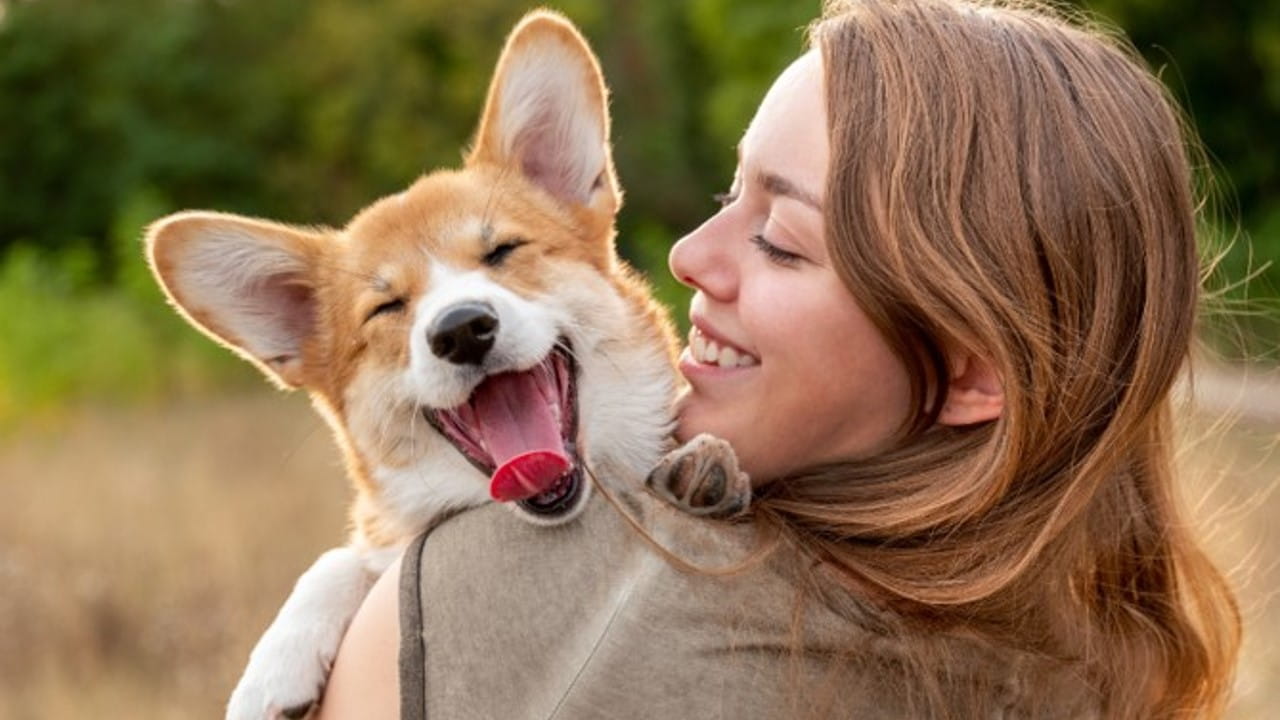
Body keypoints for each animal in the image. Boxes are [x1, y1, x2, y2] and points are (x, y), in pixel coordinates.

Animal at [148, 11, 691, 717]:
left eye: (502, 251)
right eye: (387, 307)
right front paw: (272, 670)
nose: (462, 330)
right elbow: (341, 558)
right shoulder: (384, 538)